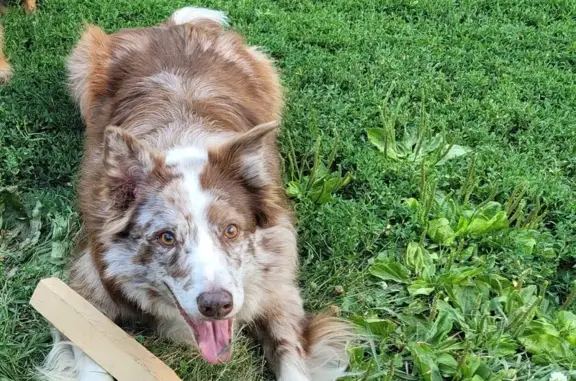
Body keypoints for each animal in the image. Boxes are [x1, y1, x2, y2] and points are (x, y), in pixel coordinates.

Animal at [38, 6, 354, 380]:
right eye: (166, 237)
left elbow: (290, 357)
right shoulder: (84, 288)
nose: (217, 305)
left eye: (231, 230)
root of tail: (172, 27)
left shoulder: (278, 288)